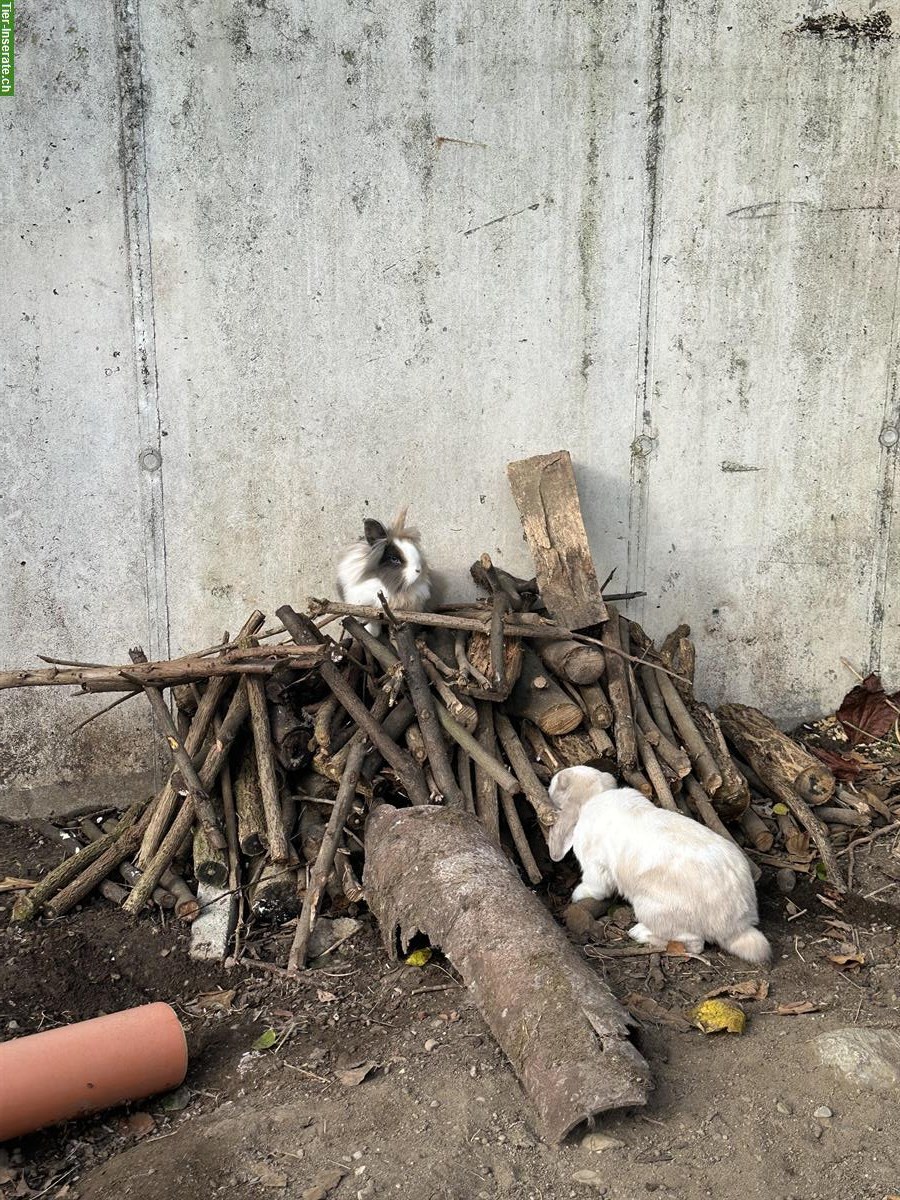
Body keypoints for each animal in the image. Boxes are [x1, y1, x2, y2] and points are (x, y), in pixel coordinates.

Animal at [547, 765, 771, 964]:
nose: (551, 782)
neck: (594, 797)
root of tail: (737, 925)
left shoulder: (596, 866)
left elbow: (596, 887)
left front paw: (578, 895)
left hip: (651, 908)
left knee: (694, 943)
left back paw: (639, 933)